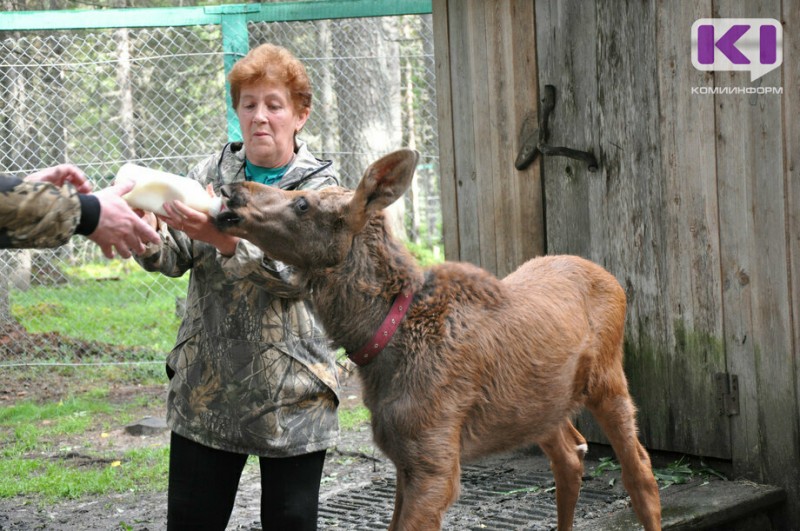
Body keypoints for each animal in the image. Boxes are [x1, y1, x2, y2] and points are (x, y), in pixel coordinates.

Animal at [214, 150, 664, 531]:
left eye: (303, 203)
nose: (232, 191)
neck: (380, 345)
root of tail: (613, 280)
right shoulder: (403, 456)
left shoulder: (434, 459)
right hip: (539, 406)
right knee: (571, 457)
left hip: (608, 381)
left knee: (640, 472)